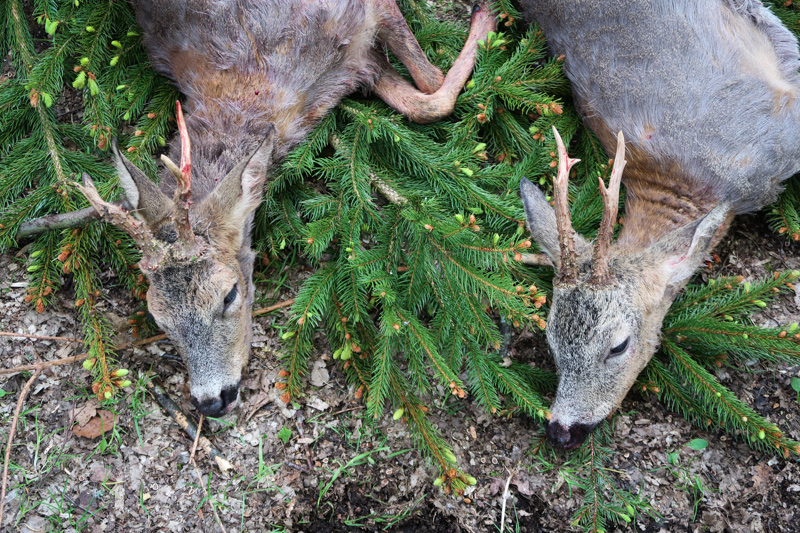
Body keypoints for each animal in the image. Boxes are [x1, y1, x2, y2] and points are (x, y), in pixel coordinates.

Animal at [78, 0, 496, 416]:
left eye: (229, 295)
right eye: (158, 317)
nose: (212, 401)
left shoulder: (362, 17)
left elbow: (431, 91)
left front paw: (487, 18)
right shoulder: (356, 63)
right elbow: (421, 98)